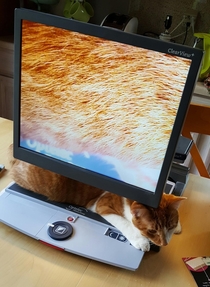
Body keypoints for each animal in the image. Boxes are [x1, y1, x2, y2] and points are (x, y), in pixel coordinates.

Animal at [8, 144, 185, 252]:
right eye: (152, 231)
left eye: (170, 226)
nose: (164, 243)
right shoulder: (102, 205)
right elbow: (125, 224)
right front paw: (141, 241)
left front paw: (178, 227)